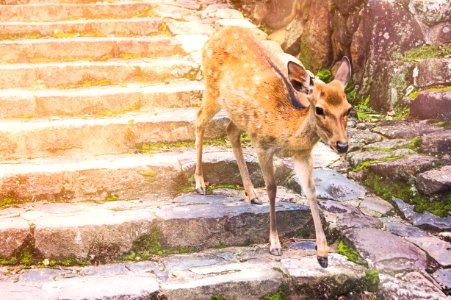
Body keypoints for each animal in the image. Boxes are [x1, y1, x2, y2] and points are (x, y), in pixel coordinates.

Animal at [195, 27, 354, 268]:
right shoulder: (262, 145)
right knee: (198, 120)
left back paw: (251, 194)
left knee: (230, 130)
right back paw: (200, 183)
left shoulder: (302, 155)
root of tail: (219, 32)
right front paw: (275, 244)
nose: (342, 145)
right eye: (319, 109)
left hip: (238, 113)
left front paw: (323, 254)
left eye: (348, 109)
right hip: (212, 89)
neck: (287, 132)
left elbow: (311, 192)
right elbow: (272, 189)